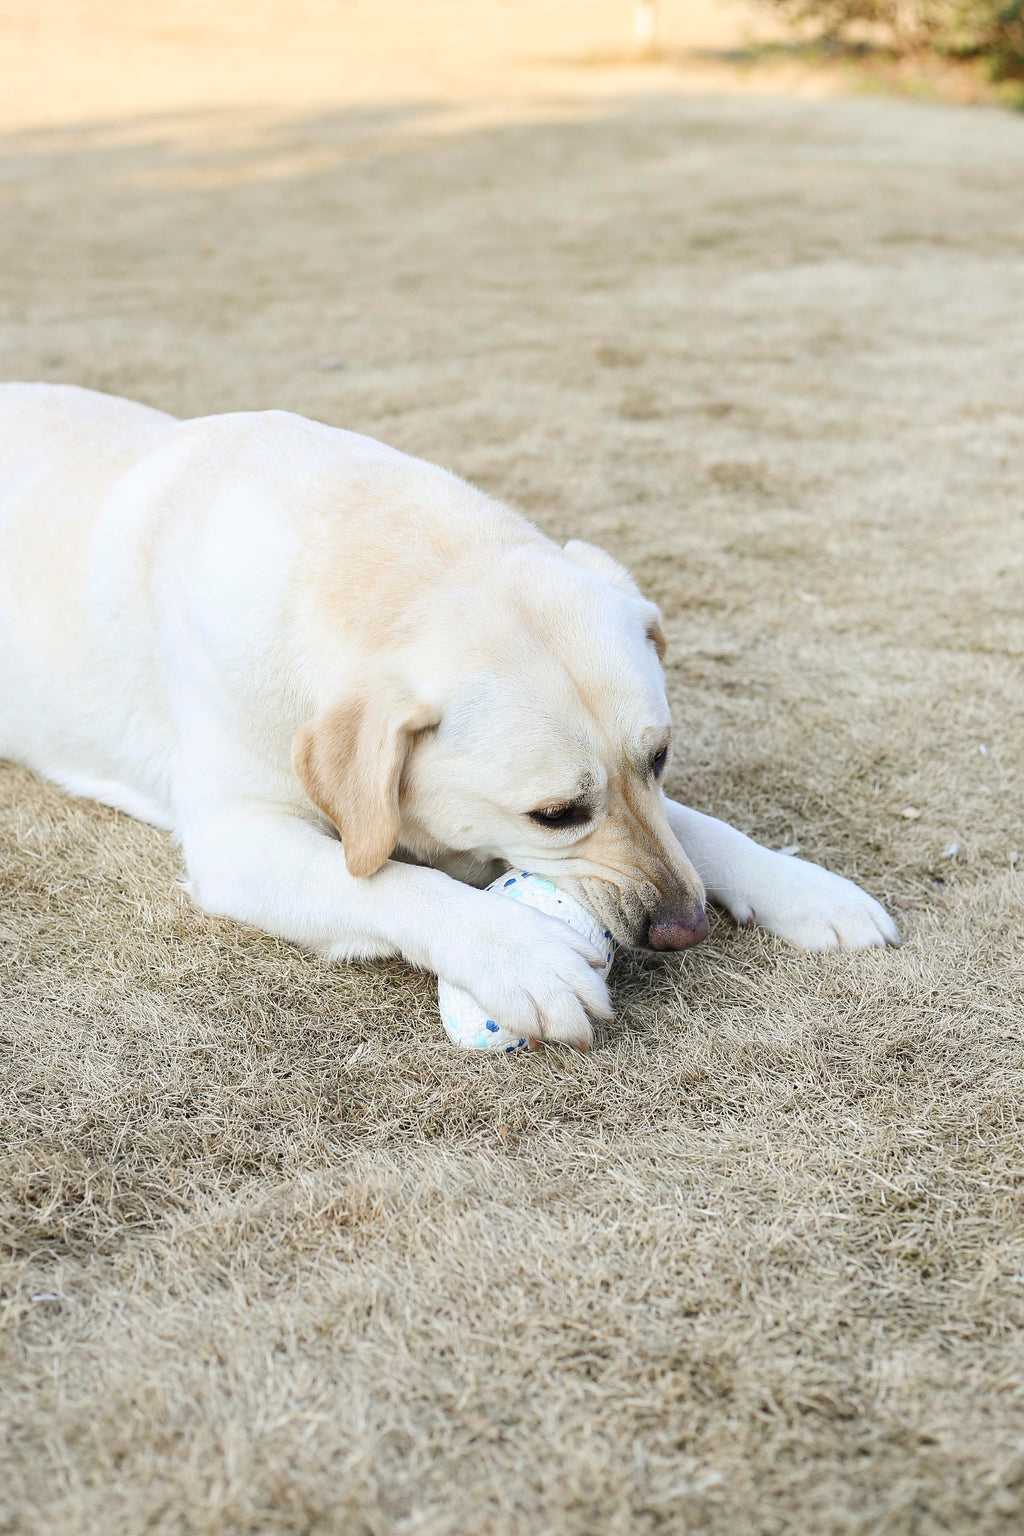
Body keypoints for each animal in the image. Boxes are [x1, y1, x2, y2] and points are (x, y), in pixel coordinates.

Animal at [0, 390, 896, 1050]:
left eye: (661, 758)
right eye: (554, 814)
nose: (687, 930)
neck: (377, 553)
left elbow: (700, 829)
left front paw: (807, 889)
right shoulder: (237, 840)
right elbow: (388, 881)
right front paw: (519, 954)